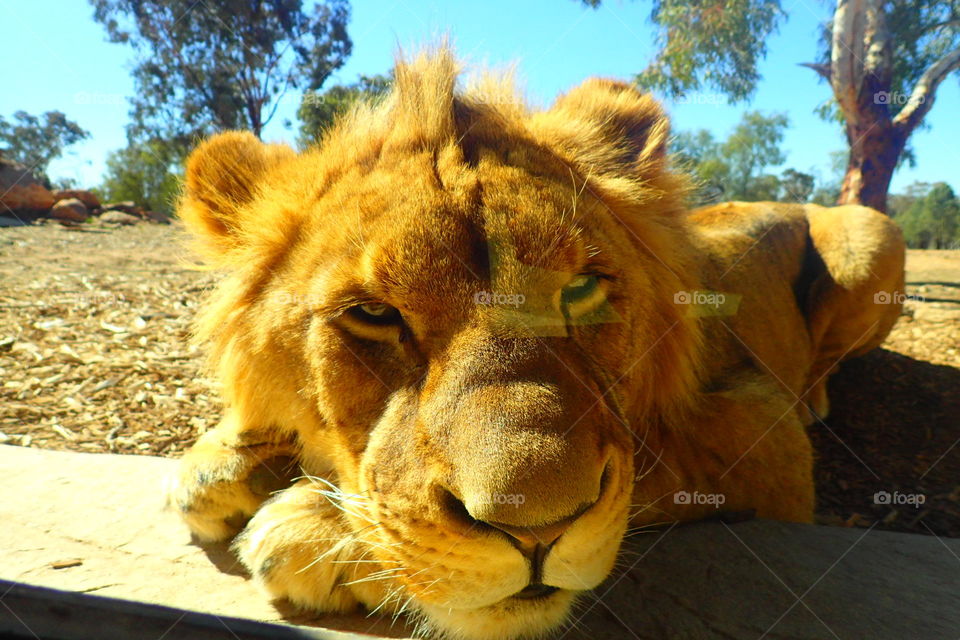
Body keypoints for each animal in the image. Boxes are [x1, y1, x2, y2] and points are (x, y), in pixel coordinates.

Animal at [167, 47, 905, 640]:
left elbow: (651, 469)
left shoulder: (766, 436)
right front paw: (223, 459)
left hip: (869, 235)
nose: (536, 532)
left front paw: (321, 534)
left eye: (579, 289)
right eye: (373, 313)